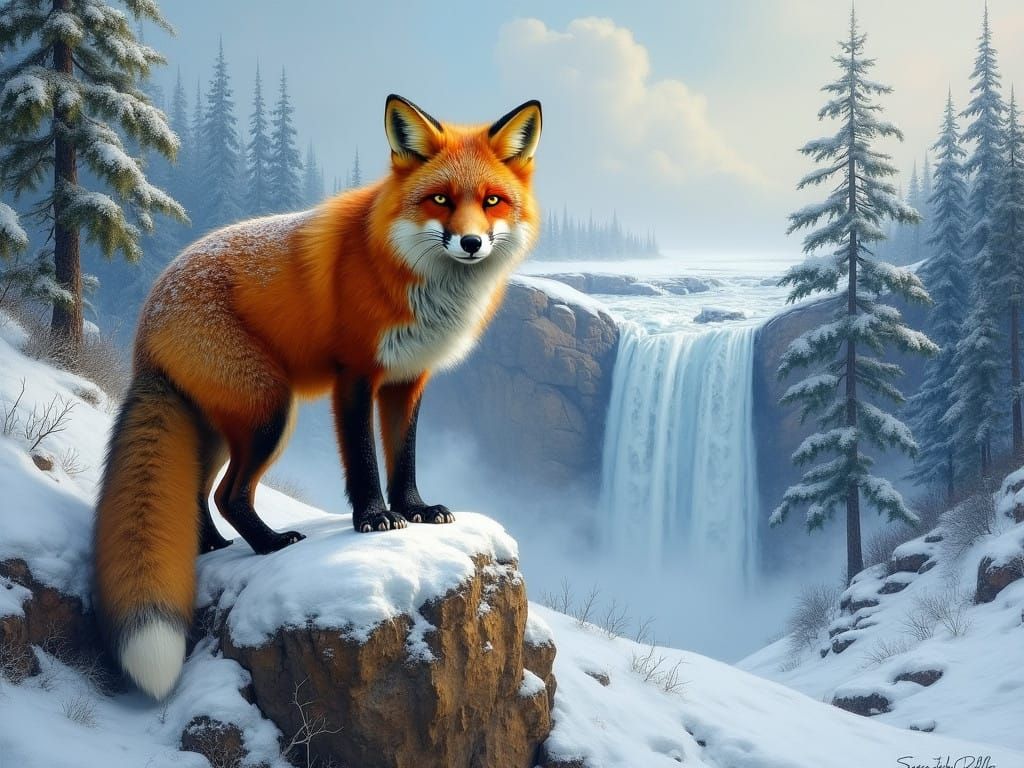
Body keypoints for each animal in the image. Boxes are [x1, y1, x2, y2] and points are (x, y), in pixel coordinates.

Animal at [93, 94, 542, 700]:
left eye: (492, 201)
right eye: (441, 200)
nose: (471, 243)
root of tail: (149, 312)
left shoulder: (408, 380)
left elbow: (404, 458)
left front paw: (416, 510)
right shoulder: (354, 374)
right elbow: (365, 460)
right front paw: (374, 519)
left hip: (221, 427)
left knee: (199, 492)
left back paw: (211, 546)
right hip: (268, 412)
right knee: (230, 495)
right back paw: (271, 544)